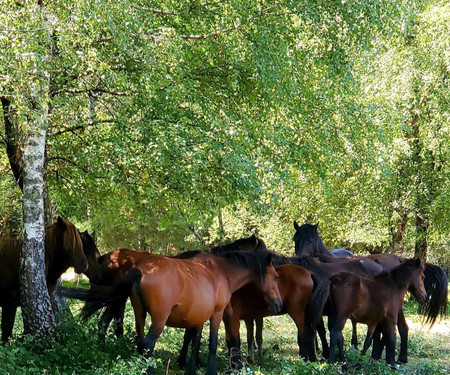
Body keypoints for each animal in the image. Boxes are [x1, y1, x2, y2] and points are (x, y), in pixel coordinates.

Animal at [61, 248, 284, 374]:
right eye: (275, 277)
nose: (279, 304)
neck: (220, 271)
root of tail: (140, 270)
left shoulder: (199, 319)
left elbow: (194, 343)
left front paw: (191, 369)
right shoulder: (216, 314)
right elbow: (211, 344)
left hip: (140, 315)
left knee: (140, 344)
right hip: (159, 320)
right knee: (148, 345)